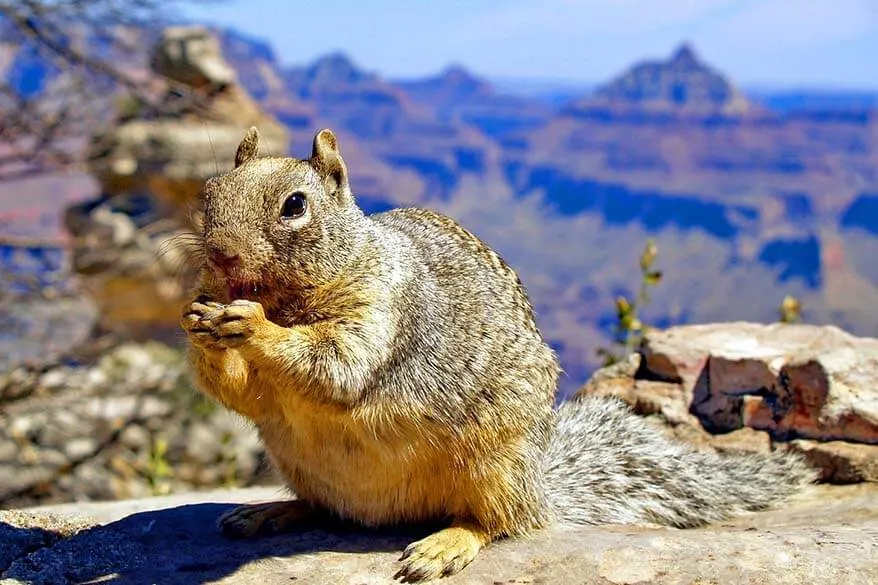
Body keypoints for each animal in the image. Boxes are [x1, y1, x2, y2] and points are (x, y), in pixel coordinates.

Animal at [179, 126, 820, 580]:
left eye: (295, 205)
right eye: (207, 195)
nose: (221, 255)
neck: (293, 296)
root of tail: (541, 489)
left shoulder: (384, 307)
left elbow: (338, 363)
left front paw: (250, 323)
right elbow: (241, 392)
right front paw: (197, 318)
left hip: (495, 463)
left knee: (498, 524)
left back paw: (442, 546)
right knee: (323, 508)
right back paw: (266, 512)